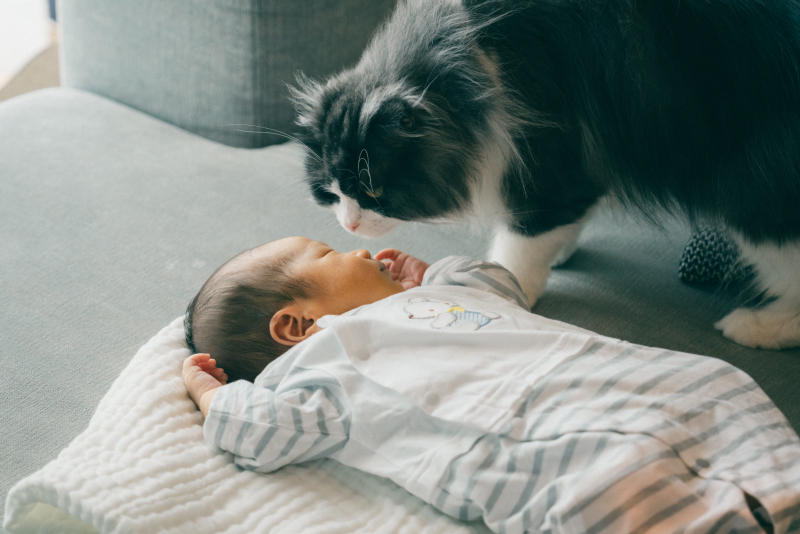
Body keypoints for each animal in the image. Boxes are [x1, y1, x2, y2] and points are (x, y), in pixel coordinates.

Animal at [290, 0, 800, 350]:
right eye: (332, 191)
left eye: (374, 190)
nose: (350, 225)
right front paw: (561, 252)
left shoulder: (549, 151)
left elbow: (520, 243)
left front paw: (512, 284)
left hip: (753, 188)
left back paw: (756, 326)